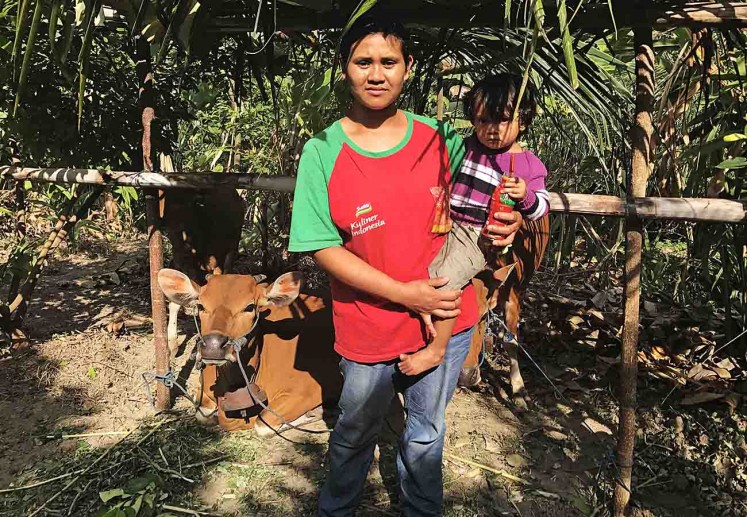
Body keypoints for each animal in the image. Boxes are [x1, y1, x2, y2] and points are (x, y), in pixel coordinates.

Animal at [161, 270, 344, 436]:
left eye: (249, 307)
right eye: (200, 306)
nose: (213, 346)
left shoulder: (314, 388)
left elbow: (263, 424)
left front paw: (312, 414)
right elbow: (202, 414)